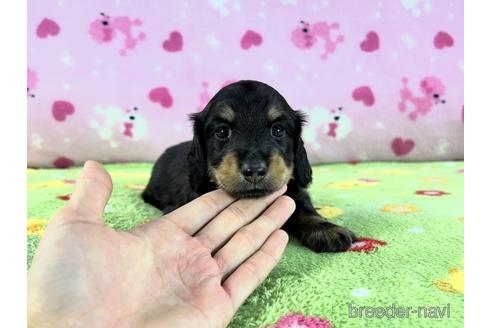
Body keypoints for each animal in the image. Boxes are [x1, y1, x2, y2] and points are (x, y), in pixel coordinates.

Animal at [140, 80, 356, 251]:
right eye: (222, 132)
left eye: (278, 130)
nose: (254, 171)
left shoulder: (294, 191)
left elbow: (303, 208)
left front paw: (328, 230)